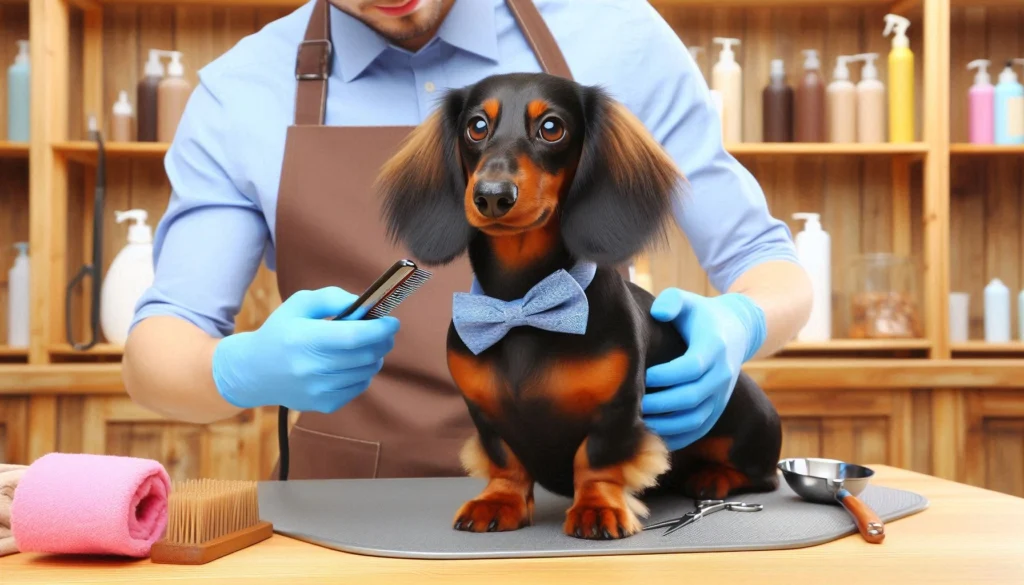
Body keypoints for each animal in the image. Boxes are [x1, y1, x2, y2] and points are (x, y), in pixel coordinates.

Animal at [376, 73, 782, 540]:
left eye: (552, 128)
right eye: (476, 127)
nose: (493, 196)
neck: (524, 302)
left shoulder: (616, 410)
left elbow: (597, 460)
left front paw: (597, 508)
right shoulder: (484, 414)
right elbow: (505, 461)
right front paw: (499, 501)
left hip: (744, 419)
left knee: (762, 475)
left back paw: (711, 477)